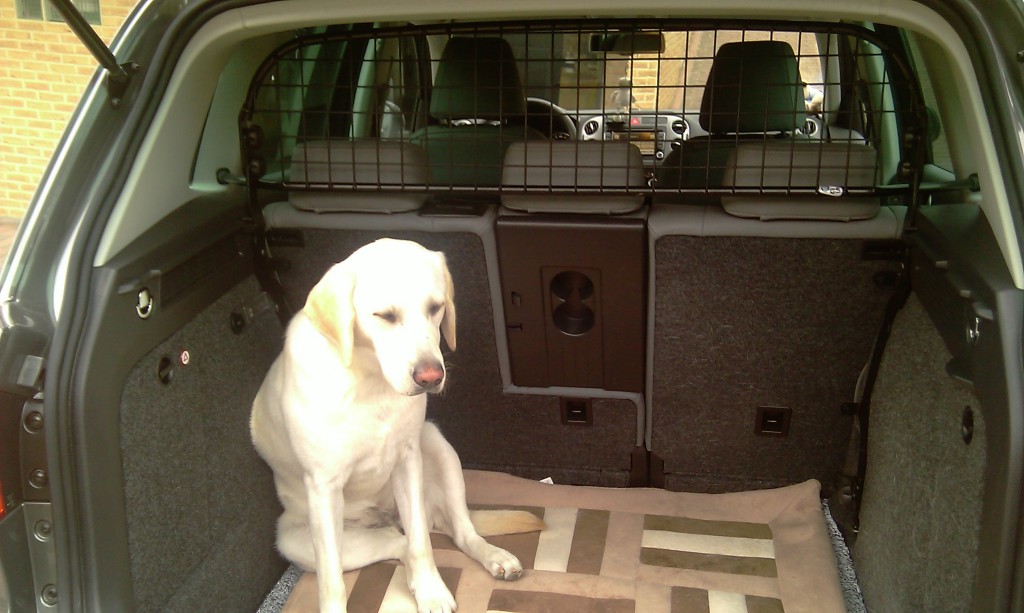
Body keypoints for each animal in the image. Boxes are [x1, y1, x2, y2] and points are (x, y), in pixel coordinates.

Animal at [251, 238, 543, 613]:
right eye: (385, 316)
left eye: (436, 308)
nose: (431, 376)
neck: (371, 382)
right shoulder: (323, 488)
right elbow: (332, 583)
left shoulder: (407, 460)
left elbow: (422, 544)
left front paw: (432, 591)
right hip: (296, 540)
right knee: (396, 544)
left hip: (438, 446)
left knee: (456, 531)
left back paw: (492, 556)